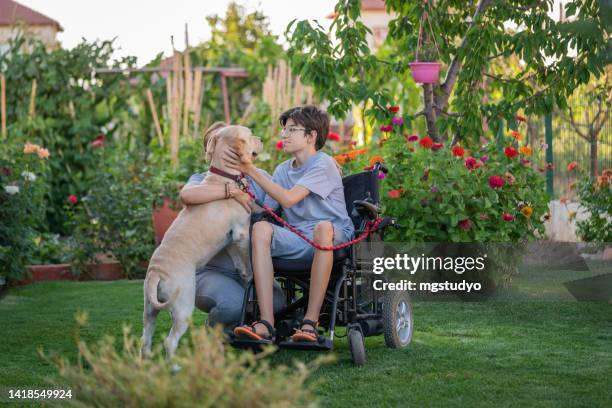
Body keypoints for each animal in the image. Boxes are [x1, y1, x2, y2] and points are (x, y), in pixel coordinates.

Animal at [143, 126, 260, 358]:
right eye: (250, 134)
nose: (260, 138)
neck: (224, 178)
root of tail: (156, 273)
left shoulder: (230, 239)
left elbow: (239, 263)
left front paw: (244, 276)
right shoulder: (241, 233)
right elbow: (247, 261)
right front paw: (251, 276)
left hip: (150, 310)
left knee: (145, 339)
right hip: (183, 305)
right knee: (170, 342)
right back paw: (175, 365)